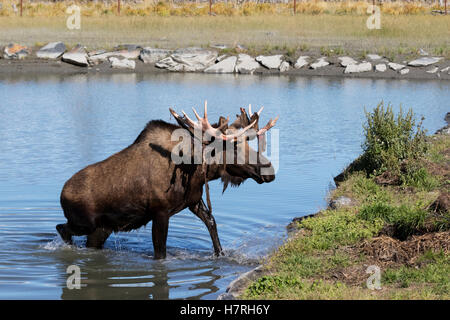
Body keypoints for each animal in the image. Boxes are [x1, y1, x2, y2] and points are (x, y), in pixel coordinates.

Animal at [56, 103, 278, 260]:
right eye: (234, 147)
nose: (270, 172)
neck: (196, 168)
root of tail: (61, 194)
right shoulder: (160, 212)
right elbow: (160, 253)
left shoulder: (193, 201)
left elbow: (212, 223)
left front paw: (220, 254)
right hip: (85, 223)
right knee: (61, 228)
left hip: (103, 229)